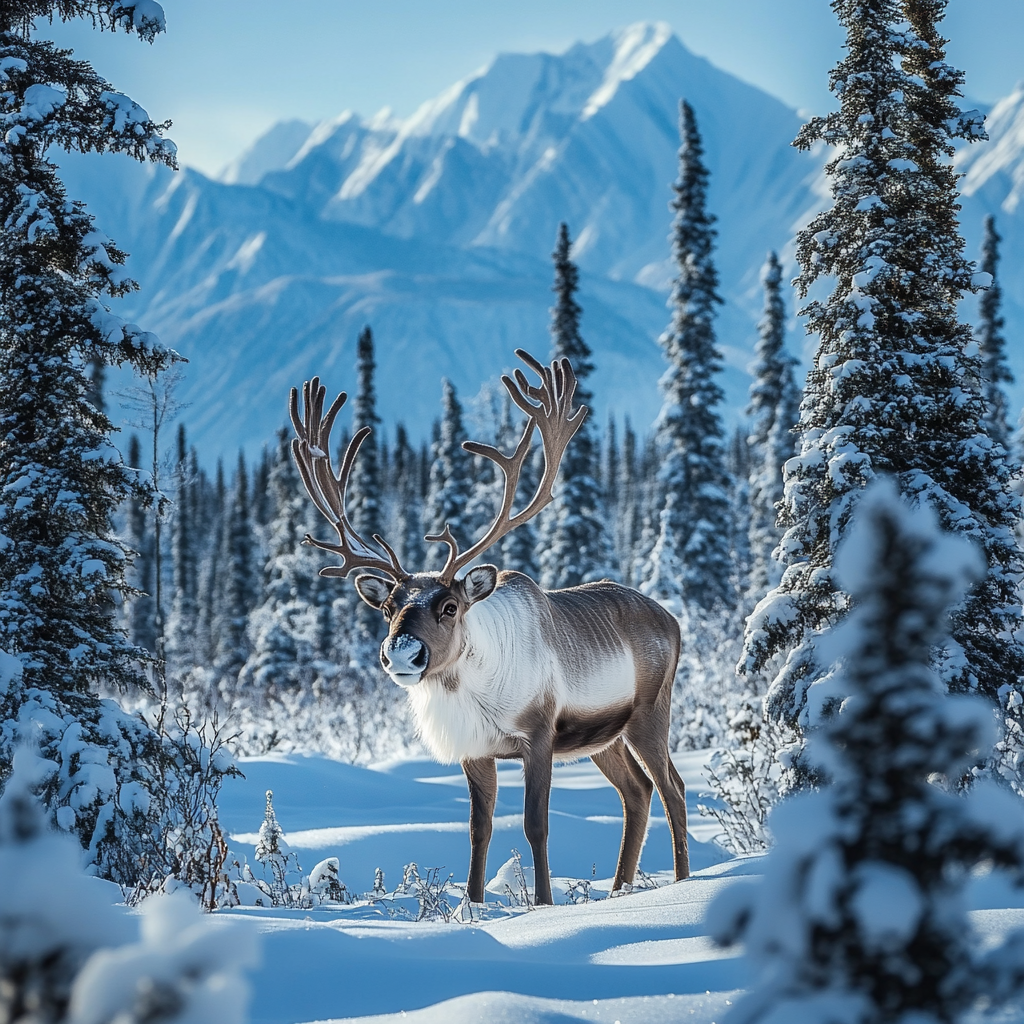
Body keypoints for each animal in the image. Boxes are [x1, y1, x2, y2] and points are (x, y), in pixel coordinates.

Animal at [289, 349, 689, 906]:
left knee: (673, 789)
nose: (402, 653)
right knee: (638, 791)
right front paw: (473, 905)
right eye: (388, 605)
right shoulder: (475, 751)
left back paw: (682, 882)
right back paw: (618, 890)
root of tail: (672, 620)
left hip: (650, 713)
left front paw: (543, 905)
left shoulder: (538, 736)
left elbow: (536, 826)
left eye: (450, 605)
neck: (473, 691)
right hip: (605, 737)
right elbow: (480, 829)